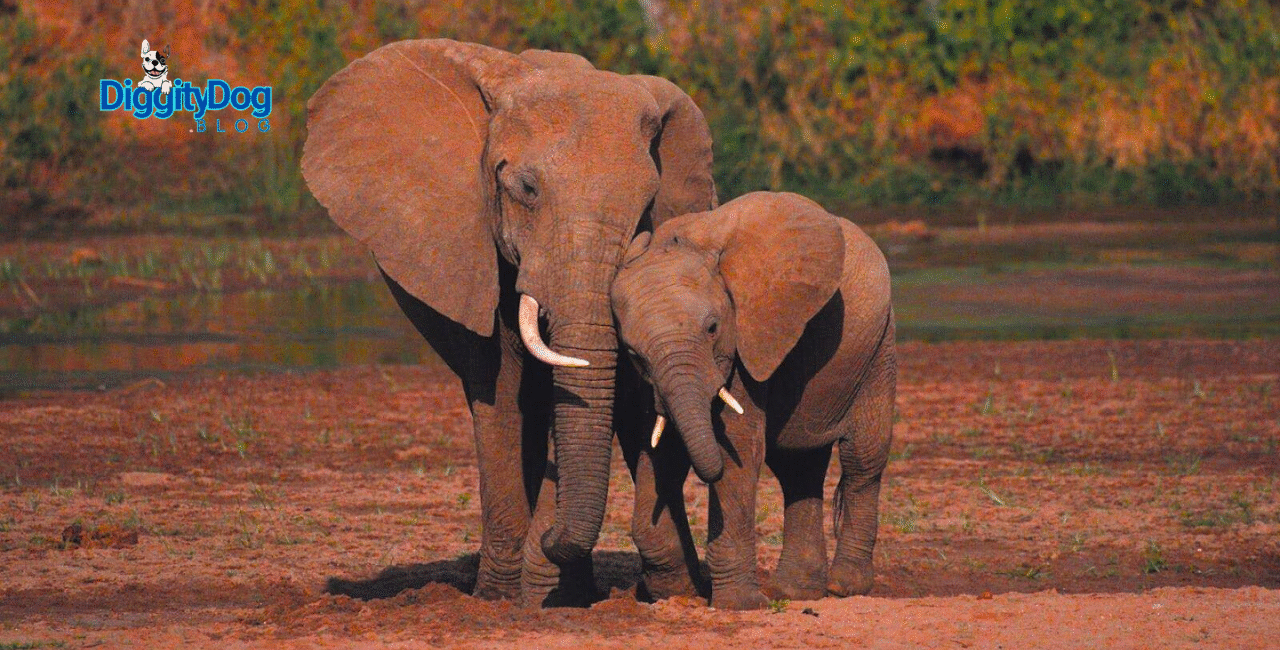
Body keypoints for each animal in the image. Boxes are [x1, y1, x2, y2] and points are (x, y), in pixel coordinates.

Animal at [301, 39, 717, 606]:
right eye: (526, 189)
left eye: (646, 206)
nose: (551, 535)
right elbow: (498, 389)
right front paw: (504, 597)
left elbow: (624, 392)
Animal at [609, 192, 897, 609]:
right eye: (632, 352)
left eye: (713, 328)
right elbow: (661, 449)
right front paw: (675, 594)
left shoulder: (747, 341)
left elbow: (739, 449)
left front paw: (739, 605)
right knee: (798, 468)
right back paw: (796, 592)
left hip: (878, 350)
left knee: (863, 459)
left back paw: (843, 587)